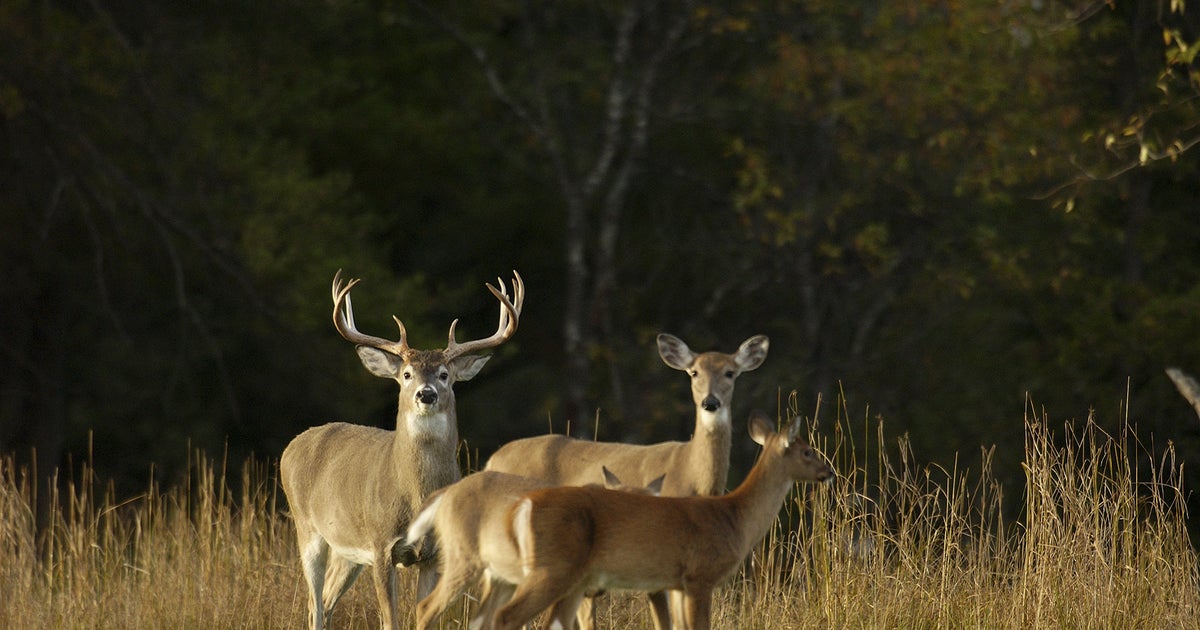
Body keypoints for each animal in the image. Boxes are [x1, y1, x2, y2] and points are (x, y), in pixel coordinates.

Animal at [280, 269, 524, 630]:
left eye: (445, 374)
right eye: (406, 374)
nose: (426, 394)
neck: (415, 496)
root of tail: (292, 445)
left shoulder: (434, 555)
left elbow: (425, 619)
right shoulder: (381, 545)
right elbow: (390, 620)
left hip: (347, 550)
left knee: (326, 600)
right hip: (307, 529)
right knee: (314, 605)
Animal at [491, 410, 835, 630]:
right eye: (807, 451)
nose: (829, 471)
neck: (734, 516)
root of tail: (521, 506)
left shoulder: (677, 583)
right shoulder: (700, 576)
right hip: (553, 568)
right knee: (507, 615)